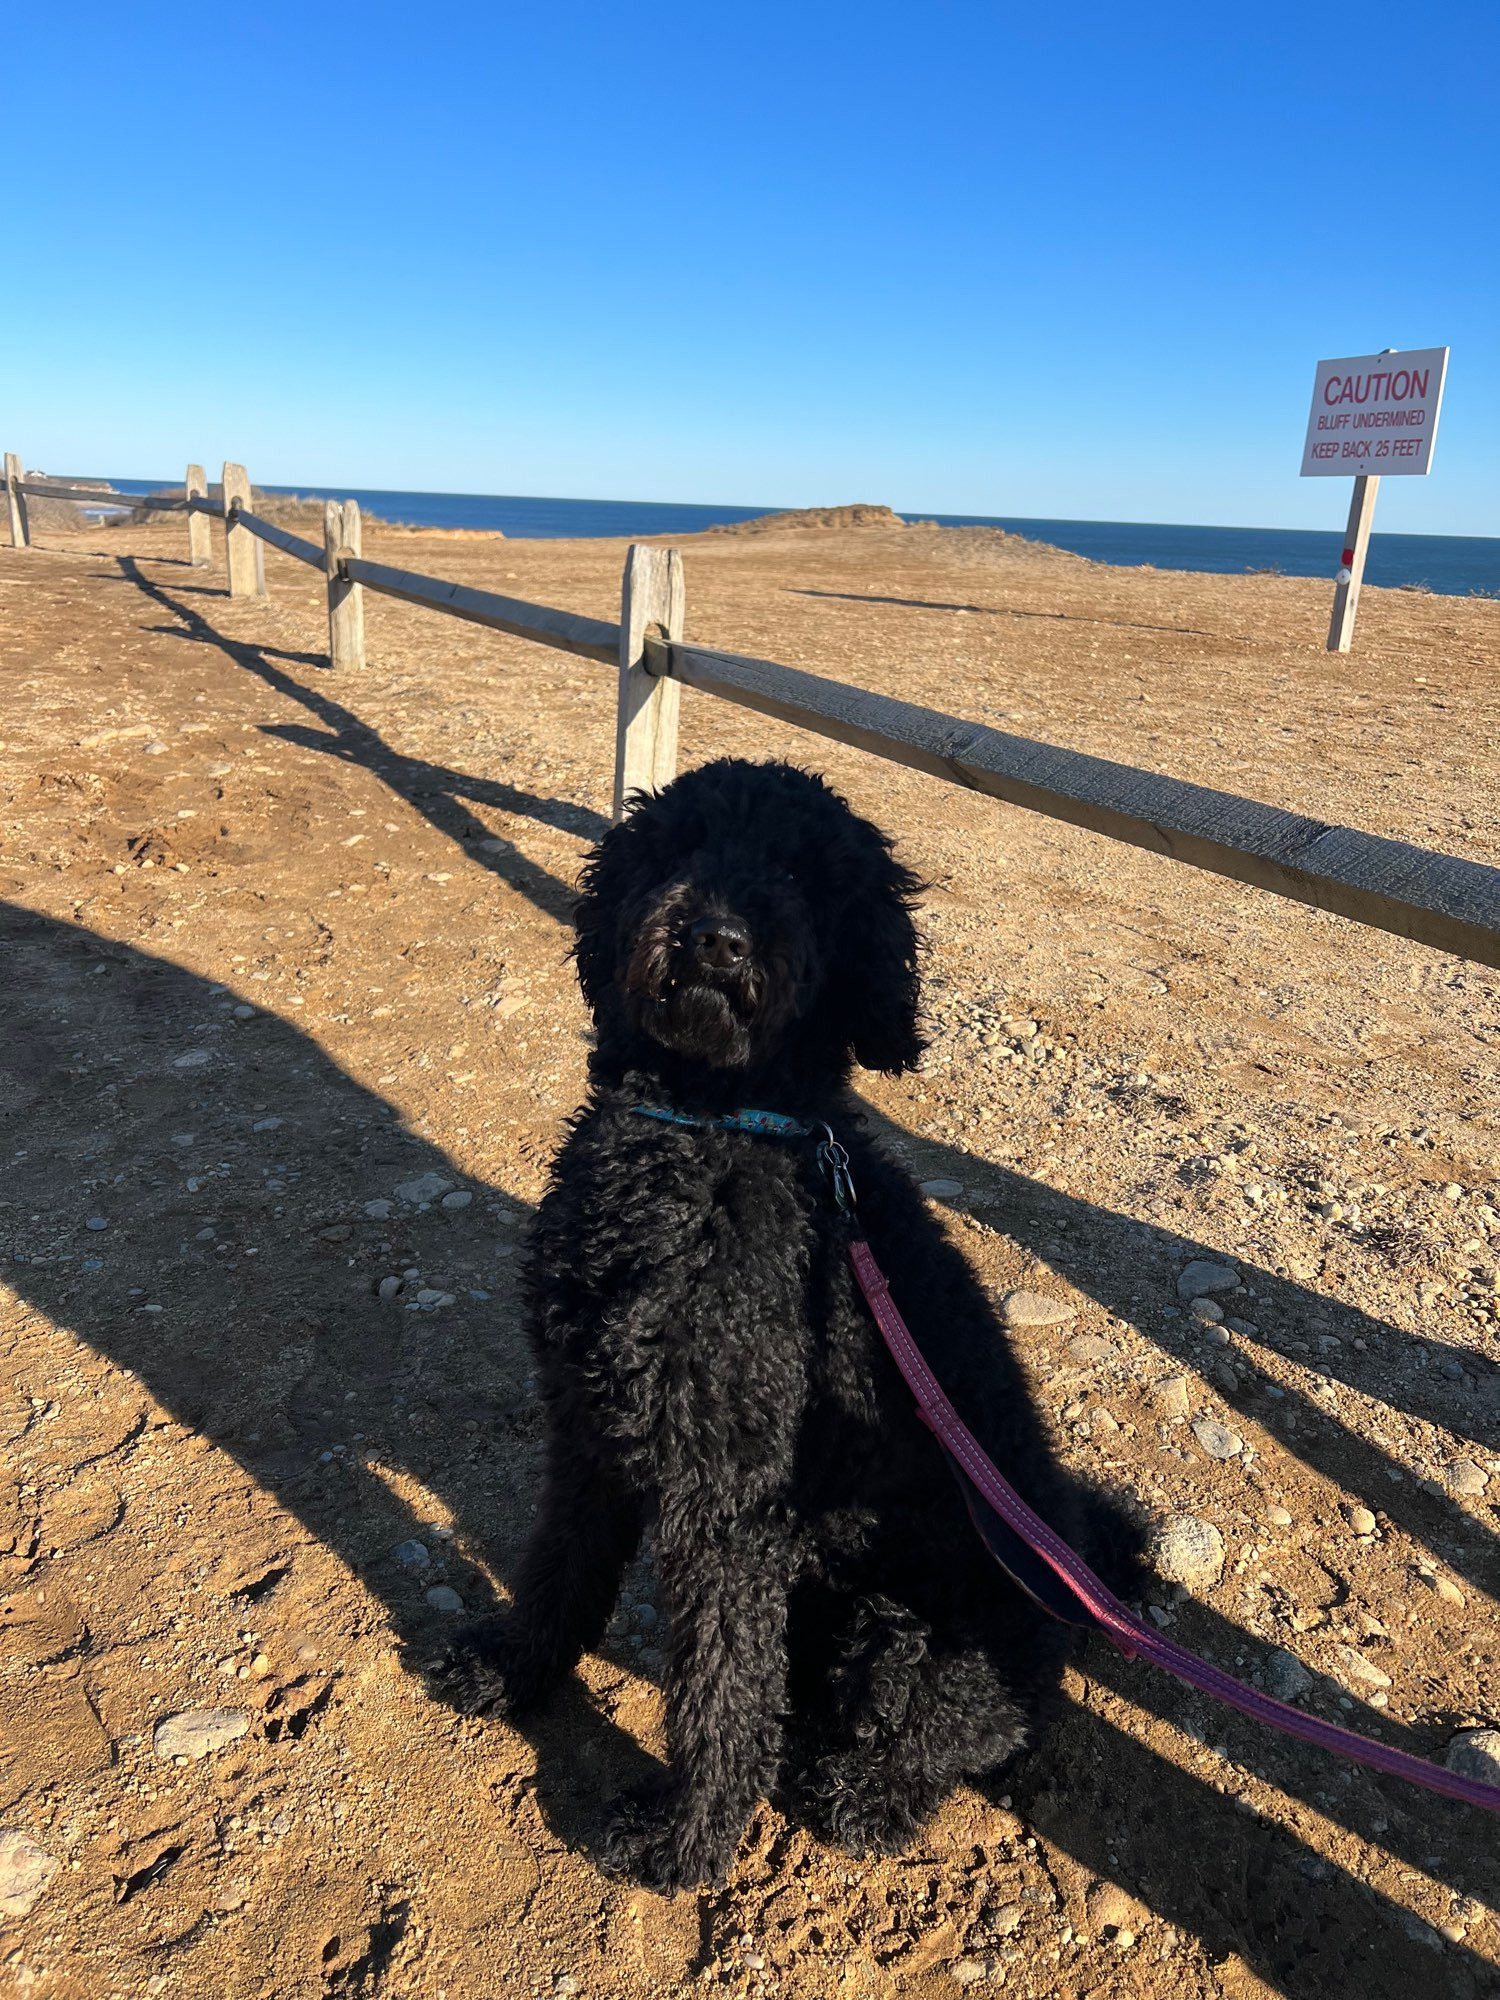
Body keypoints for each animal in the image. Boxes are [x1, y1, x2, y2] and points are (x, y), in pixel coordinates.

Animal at [434, 756, 1136, 1880]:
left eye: (807, 876)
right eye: (684, 843)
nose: (716, 938)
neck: (706, 1134)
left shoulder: (732, 1503)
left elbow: (720, 1689)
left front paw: (685, 1835)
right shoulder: (586, 1428)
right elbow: (559, 1571)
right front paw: (514, 1670)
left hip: (910, 1638)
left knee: (954, 1742)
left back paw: (859, 1792)